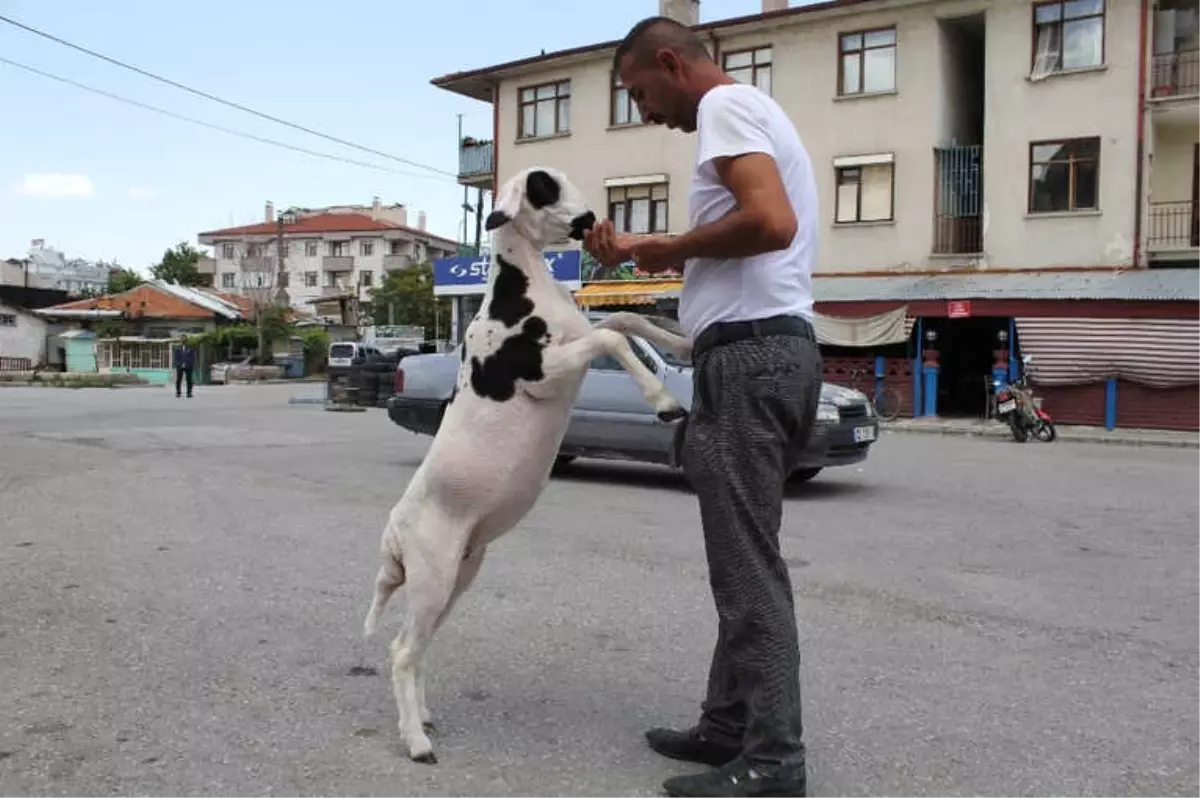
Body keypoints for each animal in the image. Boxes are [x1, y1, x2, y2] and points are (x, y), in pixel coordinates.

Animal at [357, 164, 686, 763]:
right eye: (543, 186)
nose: (591, 221)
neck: (524, 295)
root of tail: (393, 535)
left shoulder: (580, 340)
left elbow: (626, 321)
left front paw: (684, 341)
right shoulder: (549, 371)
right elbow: (612, 336)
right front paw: (665, 401)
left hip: (455, 577)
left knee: (418, 648)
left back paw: (425, 719)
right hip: (433, 578)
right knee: (400, 651)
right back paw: (416, 741)